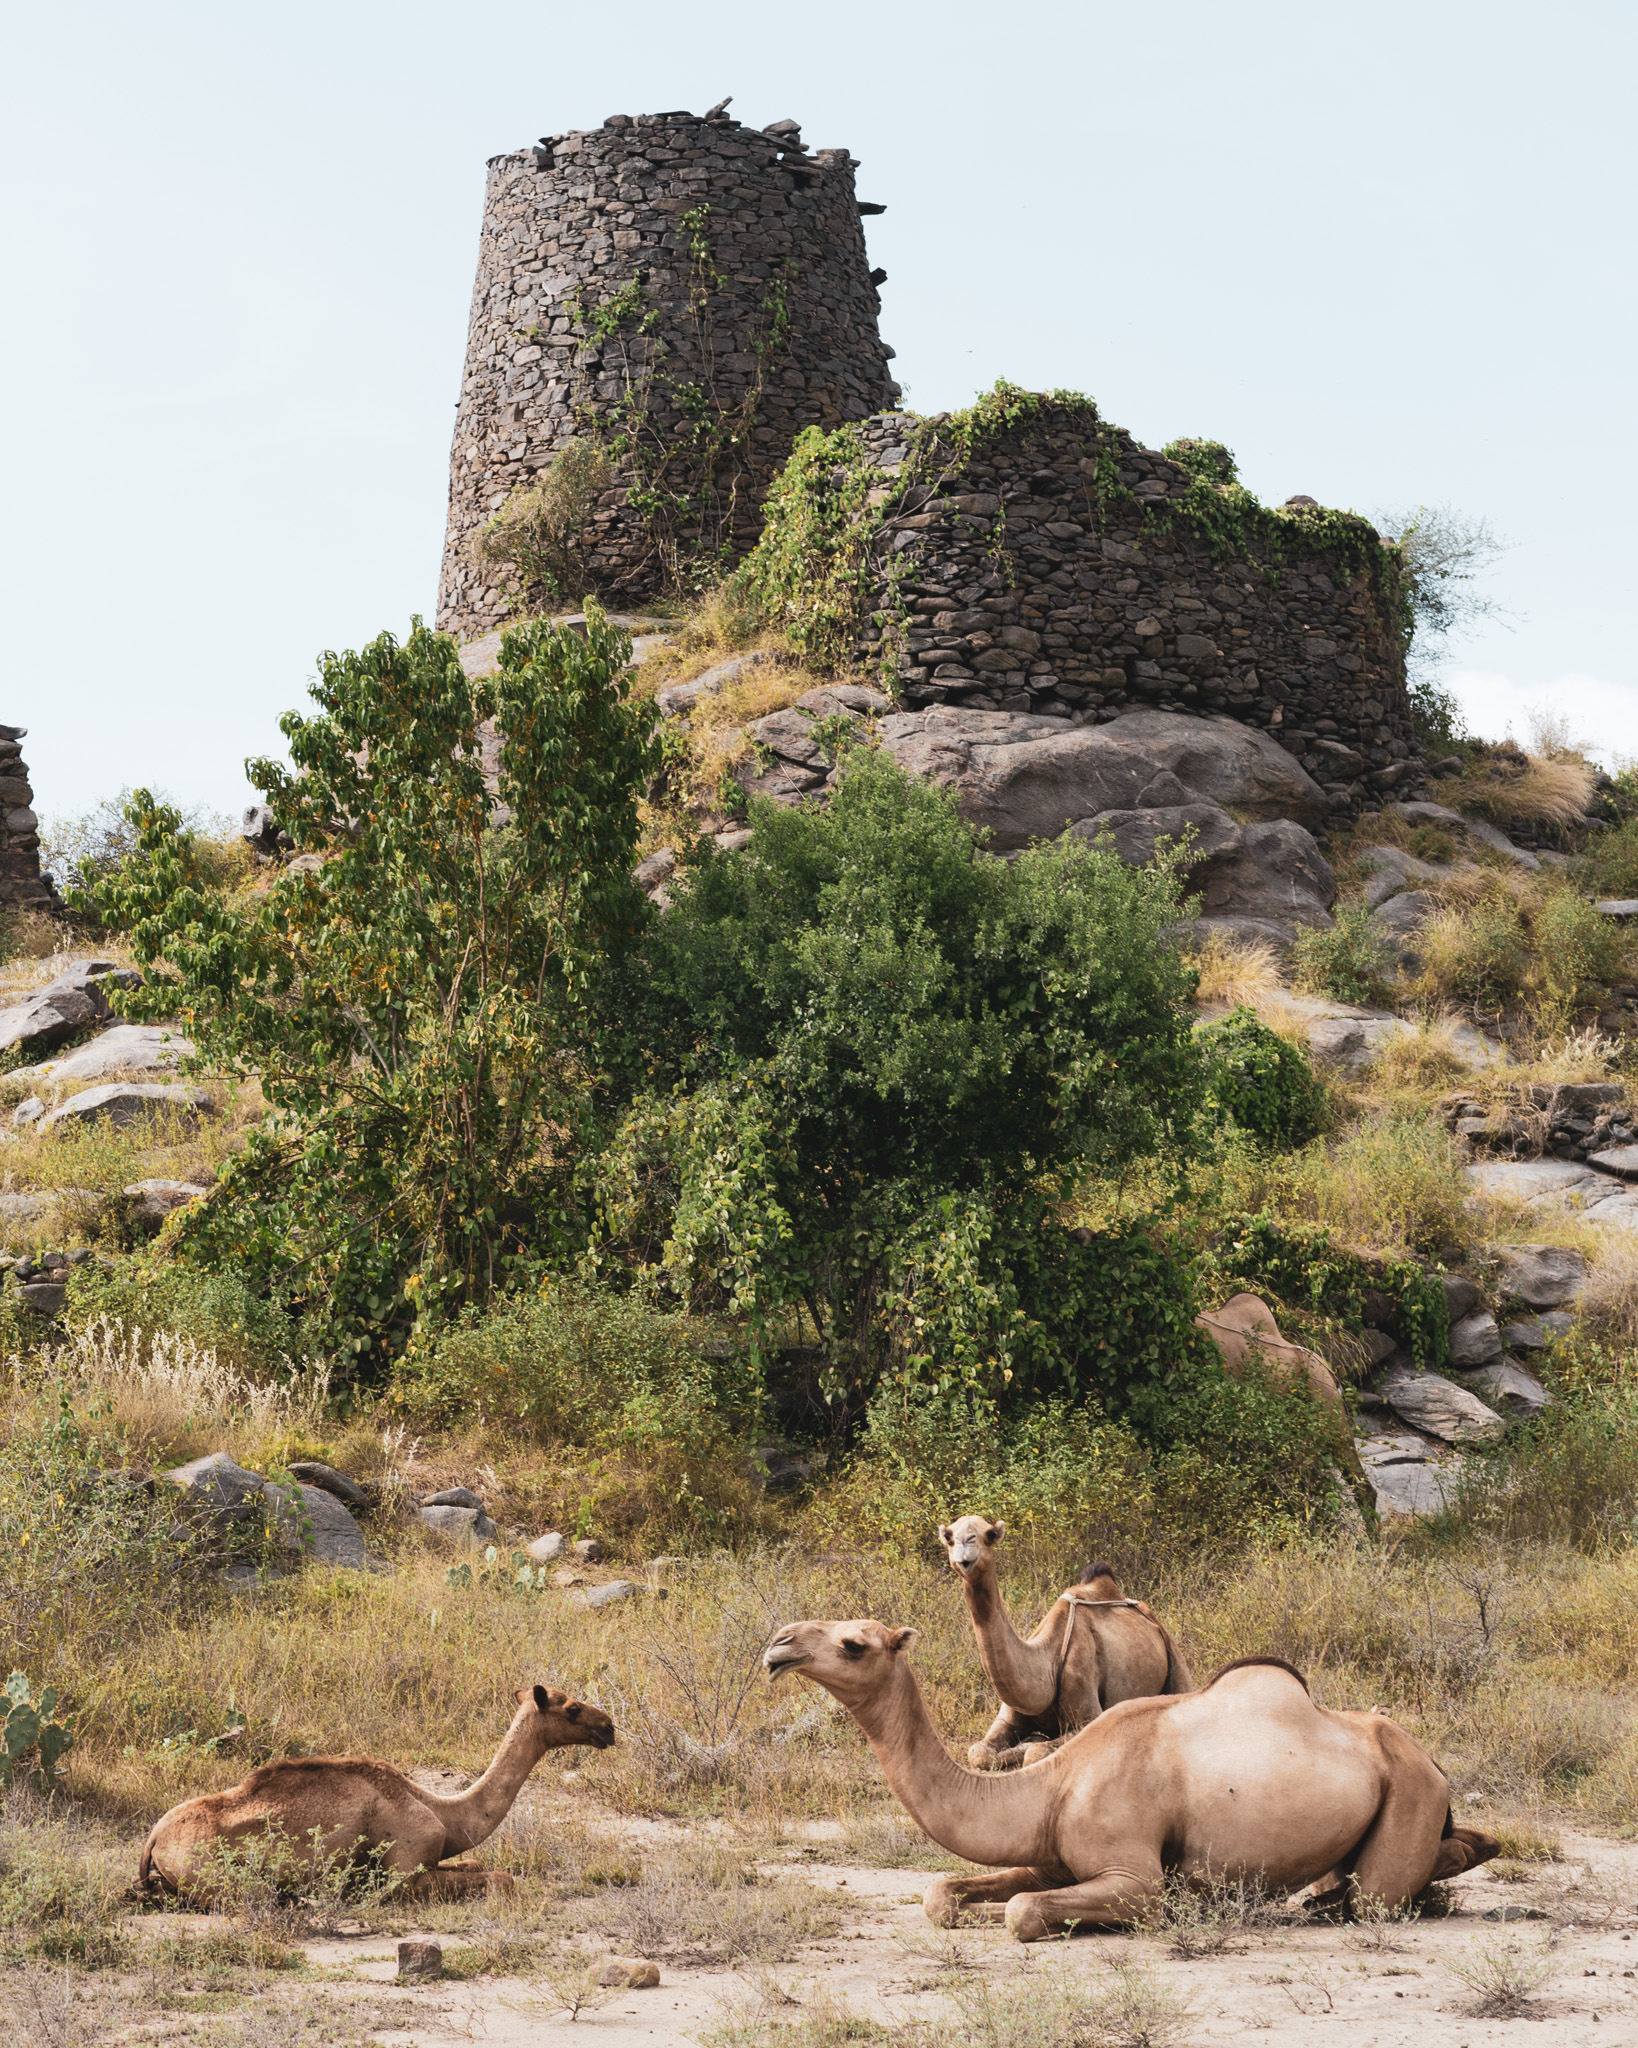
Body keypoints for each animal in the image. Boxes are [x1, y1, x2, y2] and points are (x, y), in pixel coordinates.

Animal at [139, 1679, 614, 1900]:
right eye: (572, 1708)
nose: (608, 1726)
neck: (444, 1814)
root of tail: (155, 1837)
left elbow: (480, 1865)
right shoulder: (404, 1872)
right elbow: (501, 1877)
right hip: (217, 1876)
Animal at [769, 1613, 1498, 1933]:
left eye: (853, 1643)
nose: (778, 1644)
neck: (1052, 1786)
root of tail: (1429, 1761)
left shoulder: (1132, 1873)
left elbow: (1024, 1912)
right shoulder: (1051, 1857)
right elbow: (941, 1892)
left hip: (1410, 1794)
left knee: (1380, 1893)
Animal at [933, 1515, 1187, 1769]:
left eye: (989, 1535)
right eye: (949, 1537)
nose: (964, 1544)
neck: (1047, 1663)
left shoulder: (1087, 1715)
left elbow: (1035, 1752)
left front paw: (1032, 1742)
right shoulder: (1006, 1719)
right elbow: (978, 1752)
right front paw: (1030, 1739)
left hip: (1175, 1660)